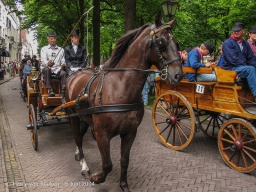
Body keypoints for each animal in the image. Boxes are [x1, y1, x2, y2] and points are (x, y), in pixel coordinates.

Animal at [65, 11, 183, 191]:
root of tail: (75, 73)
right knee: (77, 137)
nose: (178, 75)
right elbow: (107, 164)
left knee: (81, 134)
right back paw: (85, 167)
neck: (120, 88)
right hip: (73, 115)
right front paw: (96, 177)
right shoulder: (102, 134)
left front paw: (123, 185)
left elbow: (124, 160)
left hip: (84, 117)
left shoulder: (130, 132)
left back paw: (78, 155)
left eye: (176, 43)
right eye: (161, 41)